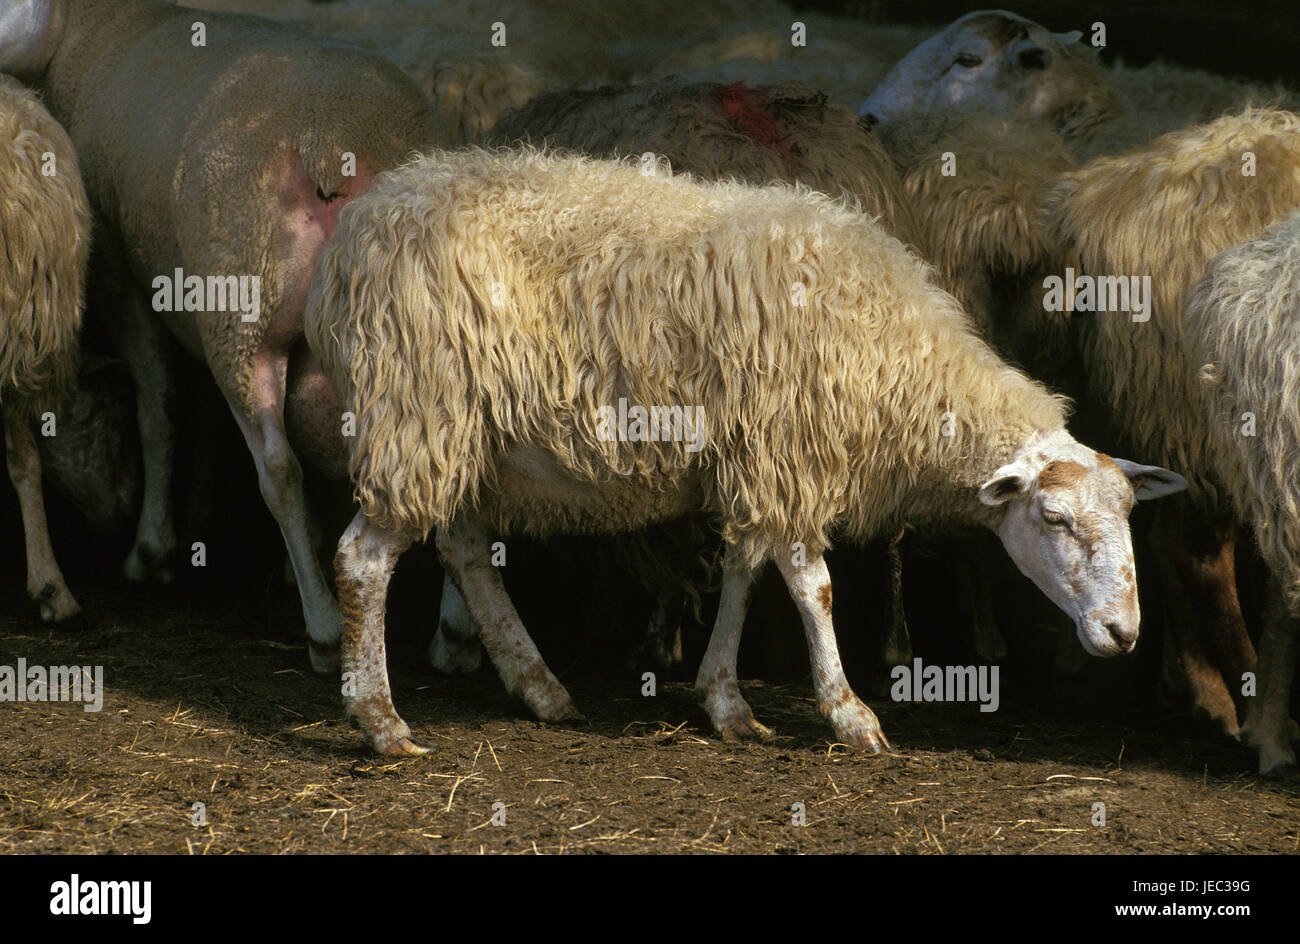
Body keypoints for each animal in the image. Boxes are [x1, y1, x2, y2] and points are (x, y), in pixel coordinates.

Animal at [0, 0, 441, 670]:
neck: (93, 28)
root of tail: (335, 143)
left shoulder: (125, 280)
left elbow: (158, 409)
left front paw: (152, 549)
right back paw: (459, 640)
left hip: (242, 313)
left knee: (279, 469)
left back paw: (323, 629)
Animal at [304, 148, 1190, 759]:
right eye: (1053, 518)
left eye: (1127, 517)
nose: (1124, 634)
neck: (899, 359)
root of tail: (361, 225)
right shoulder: (788, 450)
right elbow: (813, 586)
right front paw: (849, 714)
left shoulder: (757, 460)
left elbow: (744, 568)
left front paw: (726, 702)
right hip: (417, 410)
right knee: (363, 560)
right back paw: (381, 721)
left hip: (463, 435)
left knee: (461, 548)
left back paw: (539, 687)